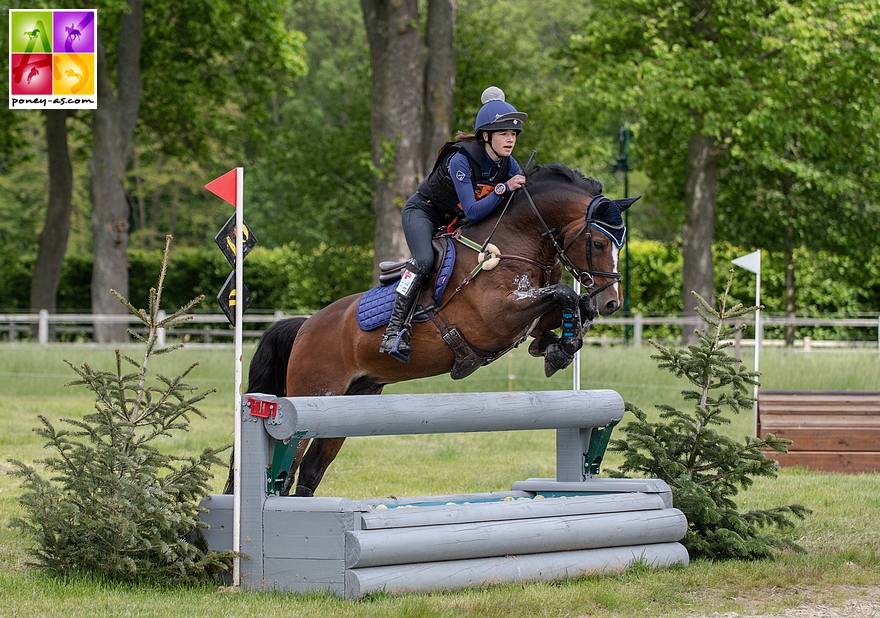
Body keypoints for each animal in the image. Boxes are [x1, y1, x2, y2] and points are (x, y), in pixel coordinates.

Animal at [227, 162, 640, 496]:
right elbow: (565, 296)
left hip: (350, 402)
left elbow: (571, 306)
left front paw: (556, 347)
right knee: (288, 468)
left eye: (620, 245)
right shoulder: (497, 316)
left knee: (312, 471)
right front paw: (558, 347)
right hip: (312, 395)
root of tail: (305, 327)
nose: (613, 303)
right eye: (598, 242)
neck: (515, 242)